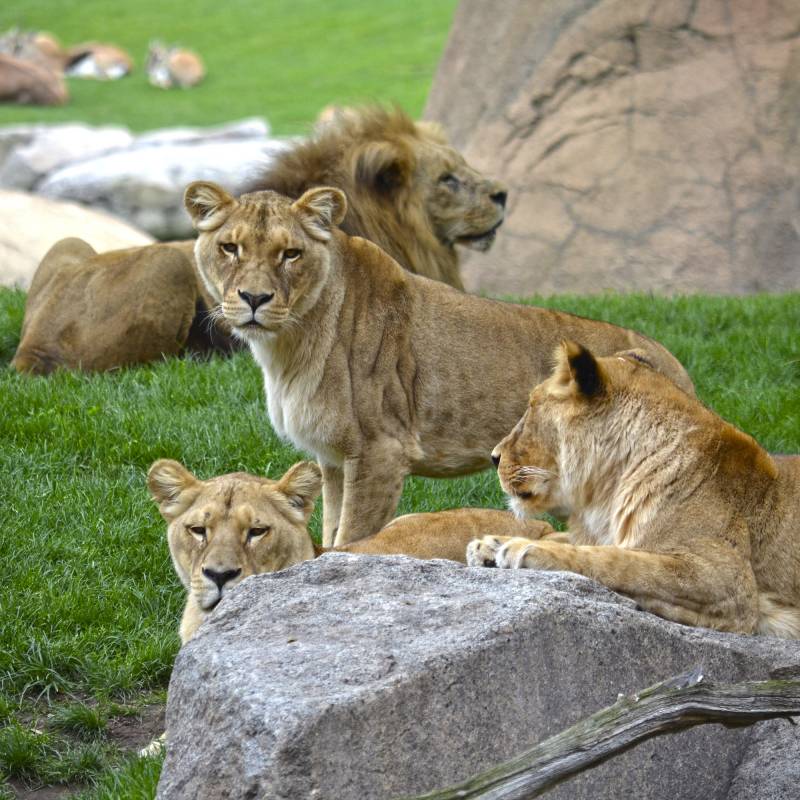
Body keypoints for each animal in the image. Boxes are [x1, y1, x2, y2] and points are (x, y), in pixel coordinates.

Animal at [183, 180, 692, 552]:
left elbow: (352, 538)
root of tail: (673, 363)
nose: (254, 298)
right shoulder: (333, 459)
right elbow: (329, 527)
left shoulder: (380, 452)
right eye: (230, 248)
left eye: (291, 253)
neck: (287, 345)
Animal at [468, 342, 800, 636]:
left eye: (532, 406)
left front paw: (524, 549)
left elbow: (620, 561)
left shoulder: (727, 582)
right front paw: (489, 544)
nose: (494, 457)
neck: (609, 490)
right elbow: (573, 540)